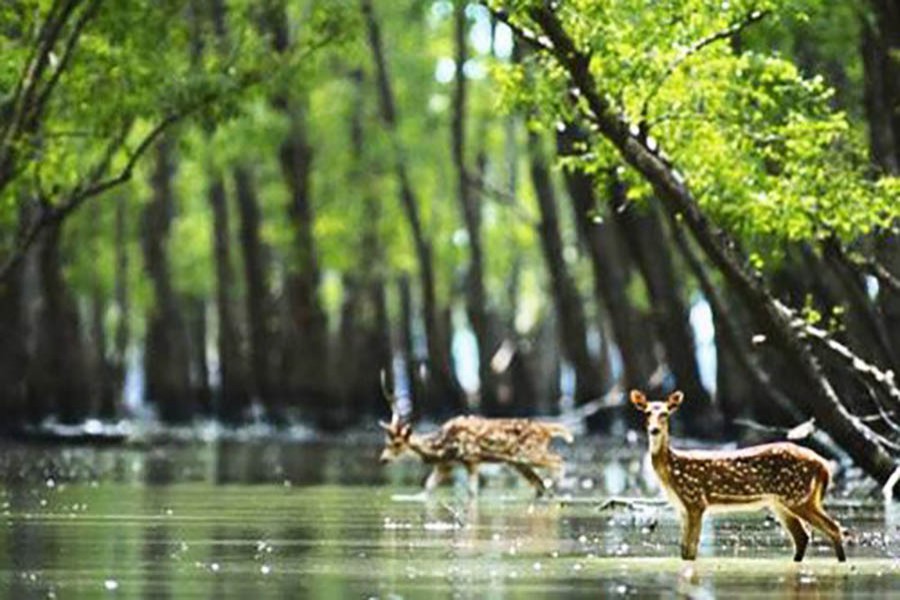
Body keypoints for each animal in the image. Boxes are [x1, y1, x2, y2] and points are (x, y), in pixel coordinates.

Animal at [376, 376, 572, 496]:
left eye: (397, 443)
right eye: (386, 442)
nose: (383, 459)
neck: (441, 446)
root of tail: (546, 429)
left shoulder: (471, 458)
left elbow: (472, 492)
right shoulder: (446, 465)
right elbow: (428, 487)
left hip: (529, 453)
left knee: (558, 460)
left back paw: (557, 484)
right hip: (518, 463)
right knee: (539, 483)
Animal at [632, 390, 844, 564]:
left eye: (665, 413)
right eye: (647, 412)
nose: (654, 430)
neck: (672, 470)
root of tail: (822, 464)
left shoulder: (695, 501)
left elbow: (691, 550)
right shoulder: (682, 508)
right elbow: (684, 551)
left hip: (797, 496)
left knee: (833, 528)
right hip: (782, 502)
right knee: (803, 536)